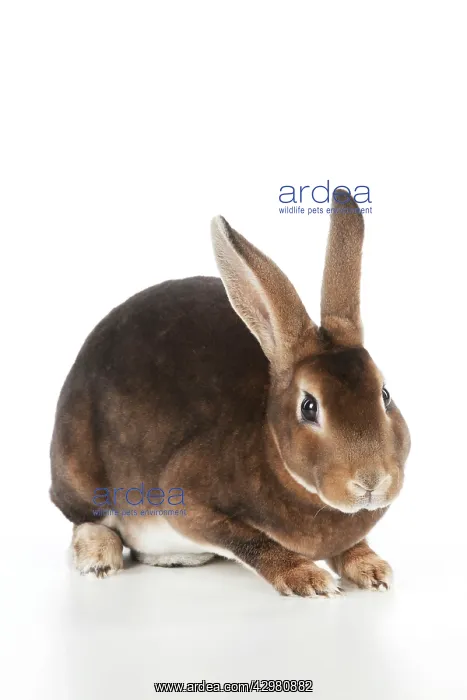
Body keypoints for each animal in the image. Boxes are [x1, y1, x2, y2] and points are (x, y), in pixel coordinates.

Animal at [50, 191, 410, 596]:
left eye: (385, 394)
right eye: (309, 406)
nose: (372, 481)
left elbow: (350, 546)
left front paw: (373, 569)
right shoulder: (186, 501)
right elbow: (251, 542)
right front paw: (308, 579)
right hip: (79, 470)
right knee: (86, 518)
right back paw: (99, 557)